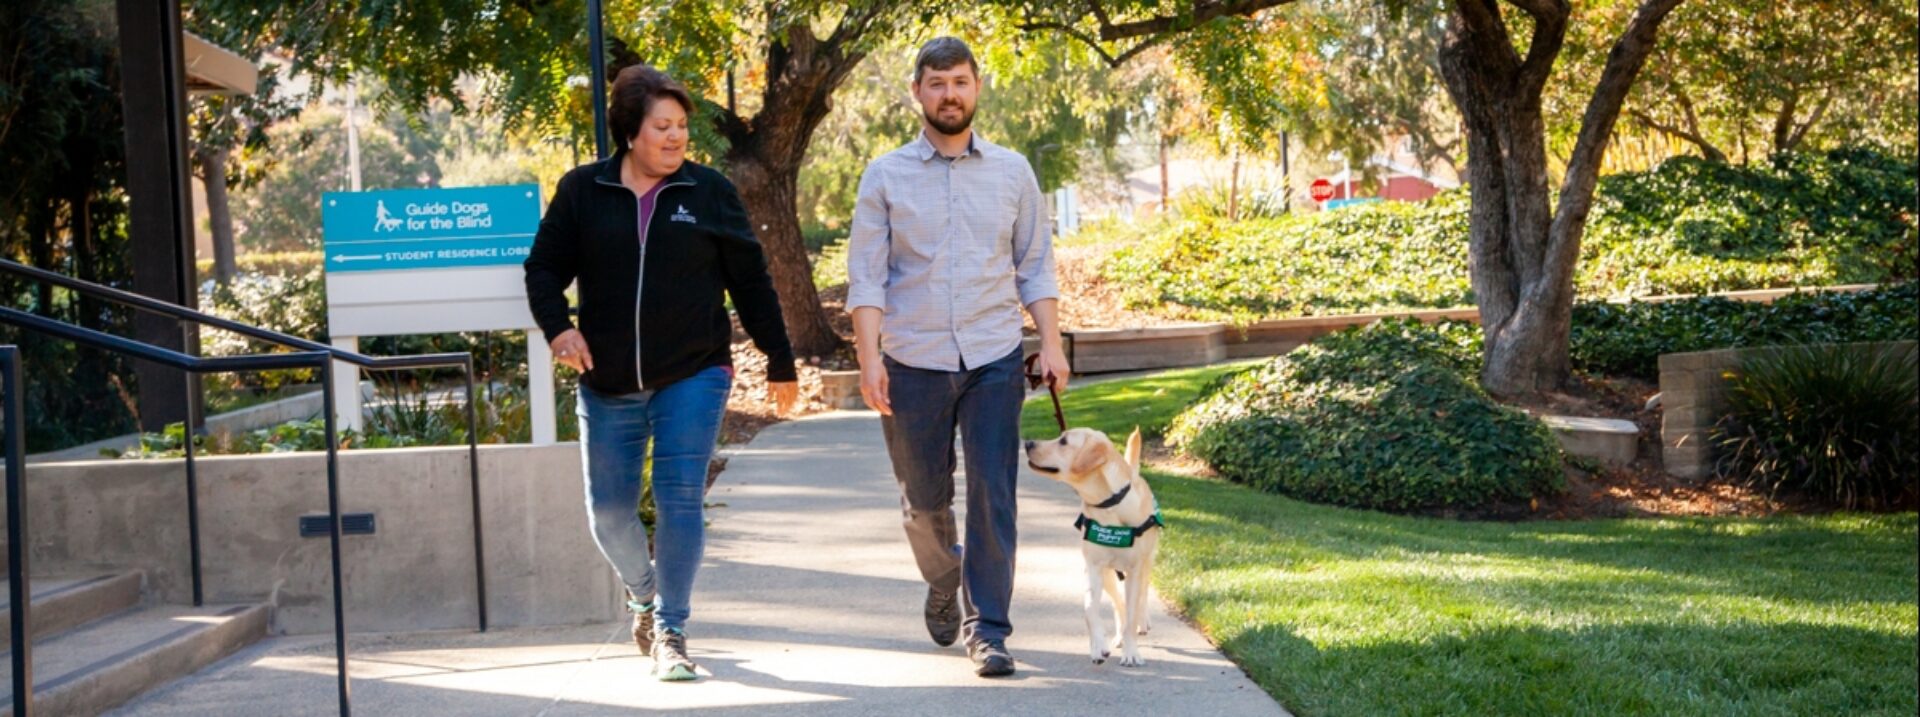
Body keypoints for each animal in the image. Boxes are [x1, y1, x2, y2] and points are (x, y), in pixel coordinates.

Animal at [1029, 424, 1159, 665]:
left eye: (1063, 441)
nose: (1028, 443)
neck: (1109, 505)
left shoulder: (1135, 569)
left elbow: (1133, 610)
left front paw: (1131, 652)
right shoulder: (1093, 567)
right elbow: (1090, 609)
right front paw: (1099, 646)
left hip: (1147, 561)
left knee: (1142, 595)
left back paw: (1142, 622)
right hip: (1109, 574)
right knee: (1119, 604)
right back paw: (1118, 635)